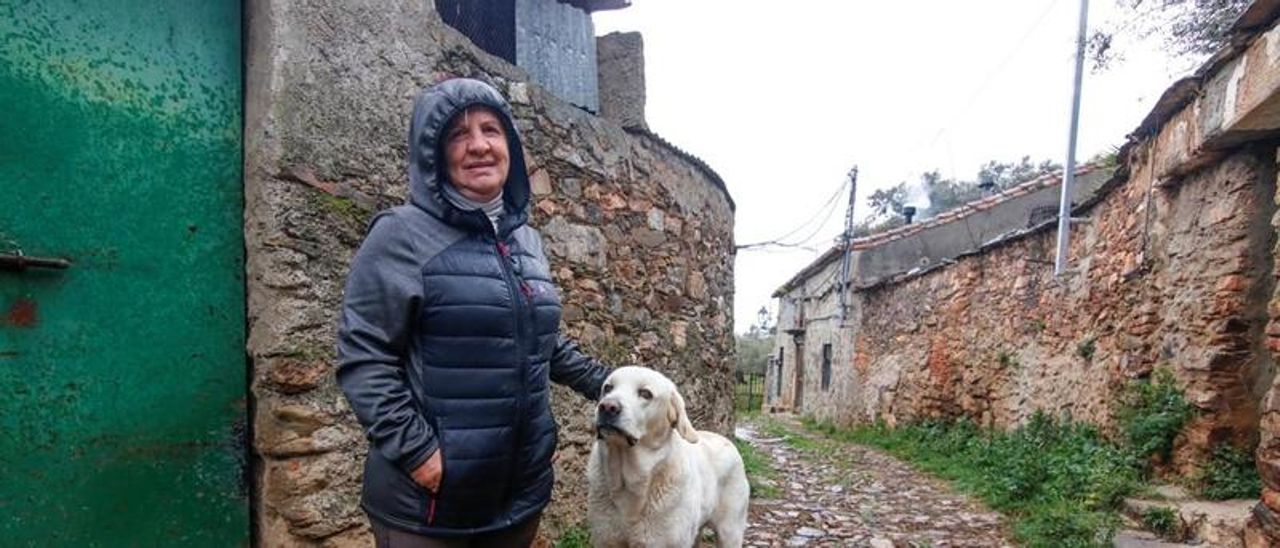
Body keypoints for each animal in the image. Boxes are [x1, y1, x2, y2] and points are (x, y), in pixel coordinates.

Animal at [586, 363, 747, 548]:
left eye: (645, 393)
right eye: (607, 388)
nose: (607, 407)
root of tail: (726, 440)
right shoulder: (606, 540)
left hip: (730, 532)